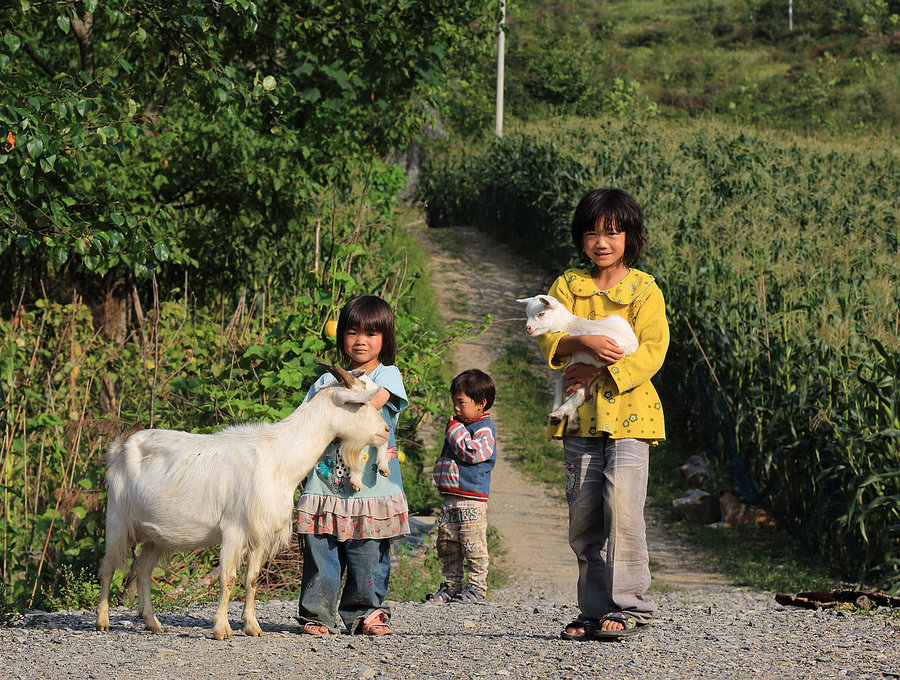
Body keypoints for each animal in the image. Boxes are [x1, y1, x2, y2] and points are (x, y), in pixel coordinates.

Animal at [96, 358, 390, 640]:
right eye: (359, 404)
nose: (386, 430)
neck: (277, 456)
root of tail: (119, 448)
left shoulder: (261, 531)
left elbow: (252, 579)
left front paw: (252, 626)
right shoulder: (234, 528)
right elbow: (228, 578)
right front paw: (221, 629)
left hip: (155, 535)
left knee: (143, 569)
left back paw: (152, 622)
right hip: (117, 519)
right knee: (108, 566)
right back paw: (102, 621)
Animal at [512, 294, 640, 432]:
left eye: (541, 314)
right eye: (527, 314)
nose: (527, 329)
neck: (567, 324)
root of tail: (631, 345)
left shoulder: (572, 365)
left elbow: (564, 388)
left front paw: (563, 415)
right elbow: (563, 387)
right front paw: (569, 418)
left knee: (576, 391)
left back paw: (560, 414)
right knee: (581, 391)